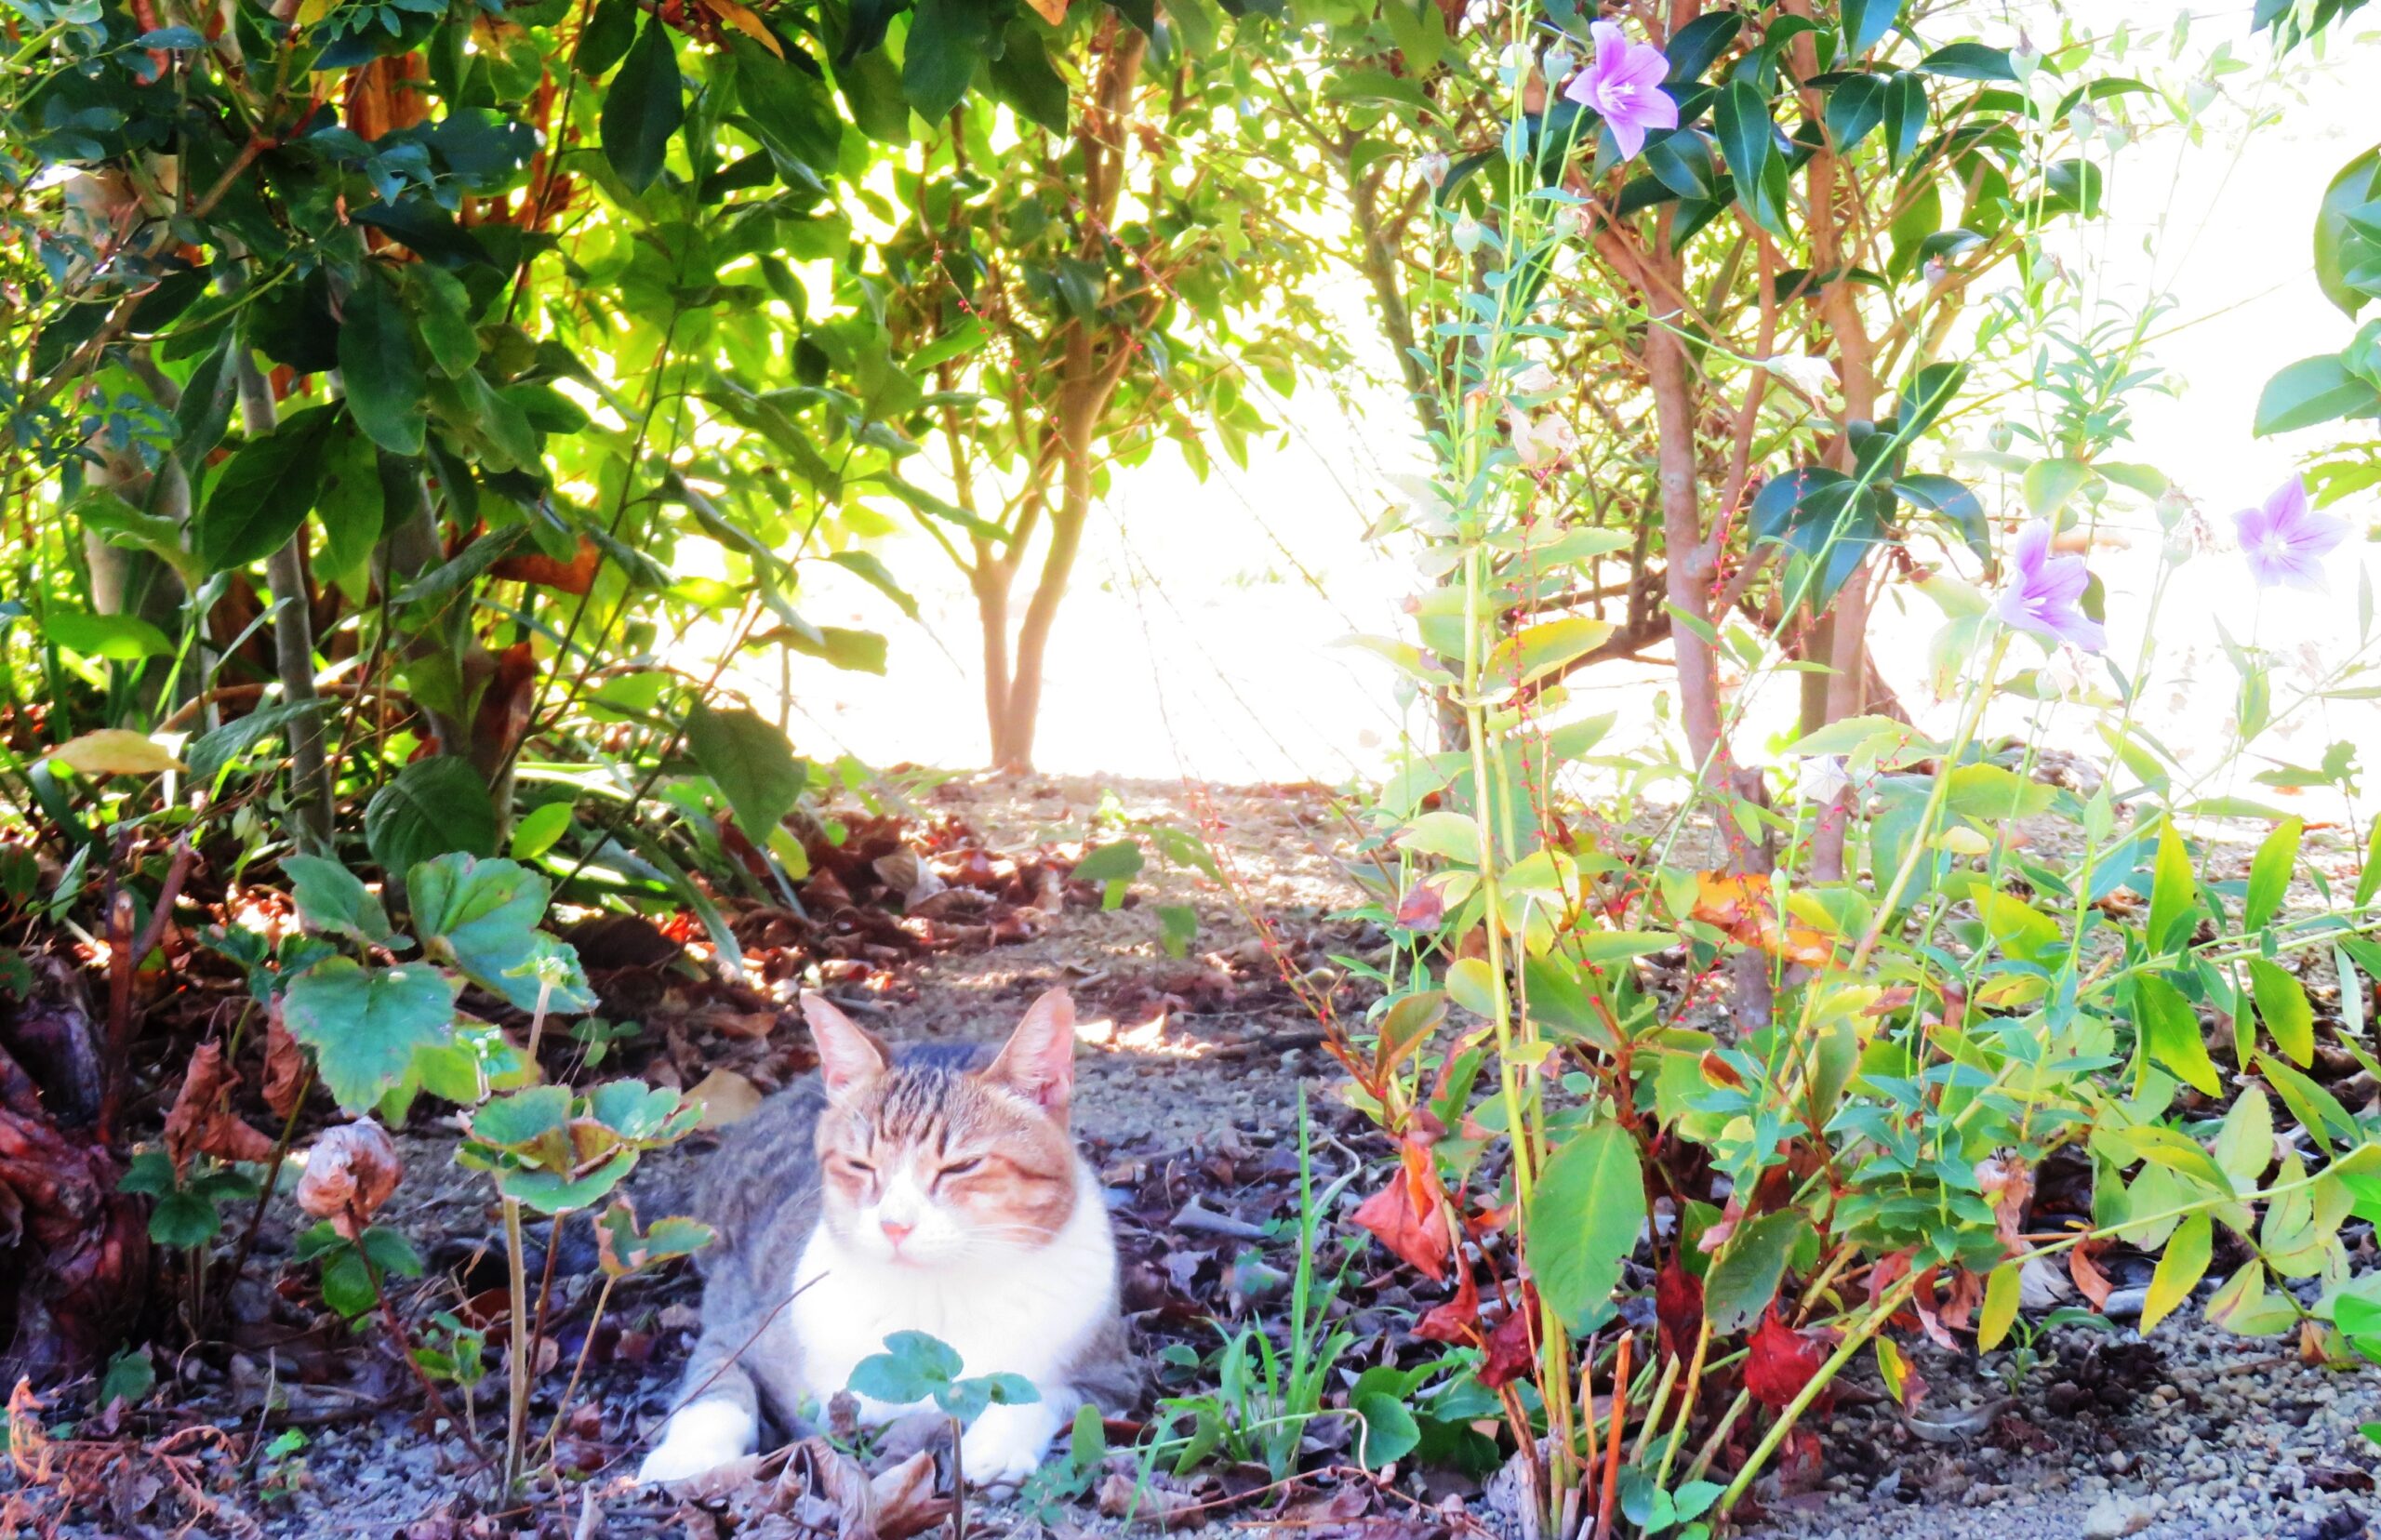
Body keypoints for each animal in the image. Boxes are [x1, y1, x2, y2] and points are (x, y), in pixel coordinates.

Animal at [632, 994, 1133, 1485]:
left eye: (961, 1167)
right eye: (860, 1164)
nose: (895, 1225)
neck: (935, 1296)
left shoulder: (1114, 1380)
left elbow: (1044, 1396)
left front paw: (996, 1444)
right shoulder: (741, 1332)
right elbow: (715, 1386)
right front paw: (689, 1452)